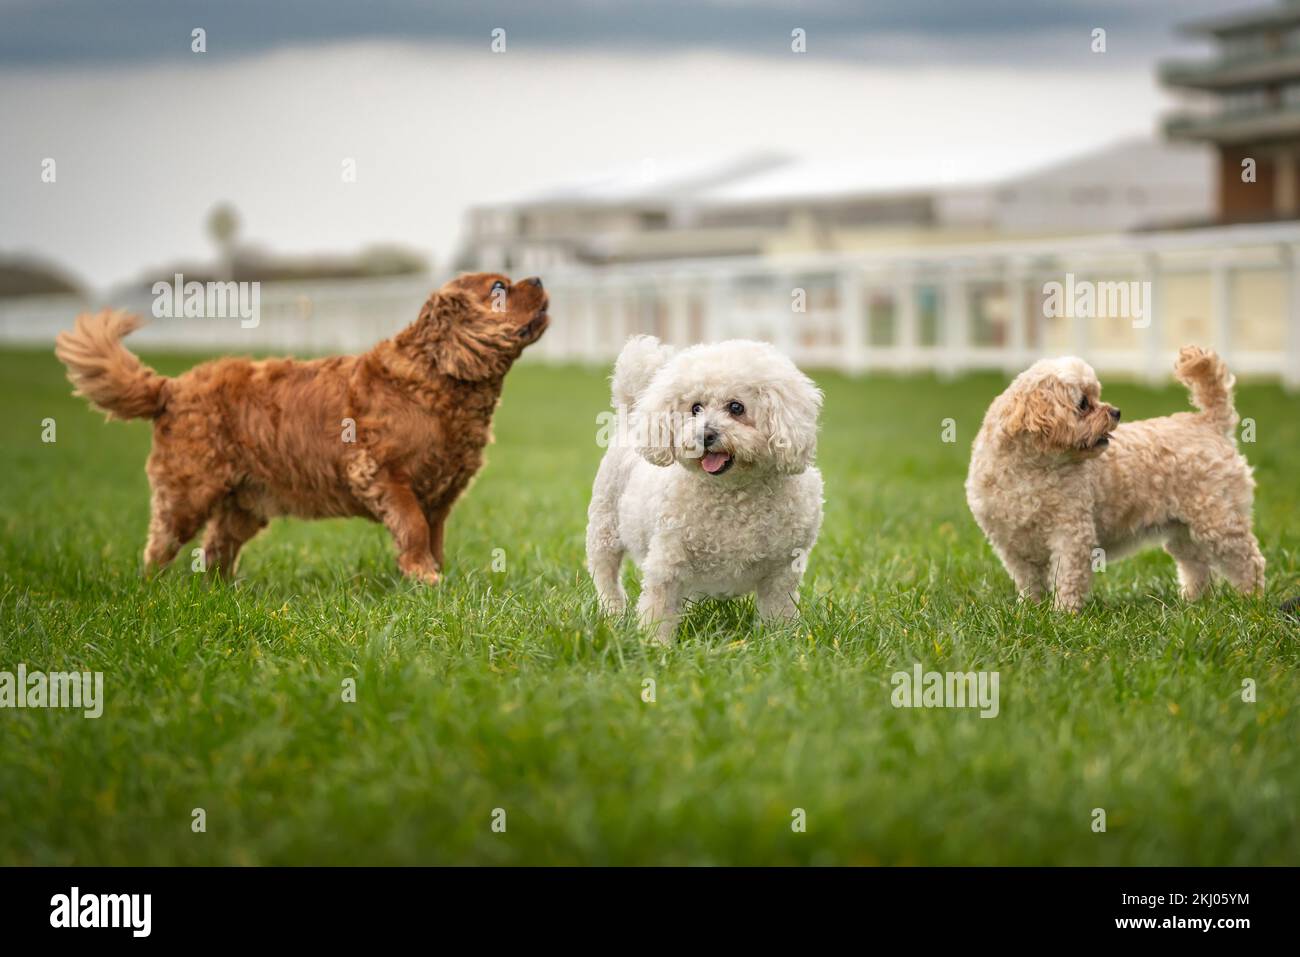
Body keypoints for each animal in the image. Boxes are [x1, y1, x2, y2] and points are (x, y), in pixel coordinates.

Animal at [54, 270, 548, 582]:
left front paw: (432, 574)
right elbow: (412, 528)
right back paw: (153, 589)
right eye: (499, 287)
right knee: (160, 545)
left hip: (243, 505)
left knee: (215, 549)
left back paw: (222, 593)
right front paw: (424, 576)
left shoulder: (439, 497)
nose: (541, 279)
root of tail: (170, 388)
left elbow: (434, 536)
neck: (437, 378)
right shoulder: (381, 473)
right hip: (187, 493)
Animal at [590, 335, 821, 642]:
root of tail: (630, 416)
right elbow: (659, 609)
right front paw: (655, 646)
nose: (705, 434)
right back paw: (612, 613)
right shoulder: (667, 562)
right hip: (604, 528)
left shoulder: (782, 570)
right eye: (695, 408)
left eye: (736, 407)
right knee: (605, 575)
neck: (734, 494)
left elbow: (778, 610)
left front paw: (780, 641)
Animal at [967, 348, 1258, 608]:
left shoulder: (1071, 533)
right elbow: (1028, 582)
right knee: (1197, 565)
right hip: (1182, 530)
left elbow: (1067, 578)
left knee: (1248, 559)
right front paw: (1030, 610)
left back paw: (1250, 599)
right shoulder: (1011, 544)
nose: (1116, 411)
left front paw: (1064, 614)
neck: (1031, 471)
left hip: (1218, 520)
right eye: (1083, 404)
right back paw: (1194, 601)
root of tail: (1210, 422)